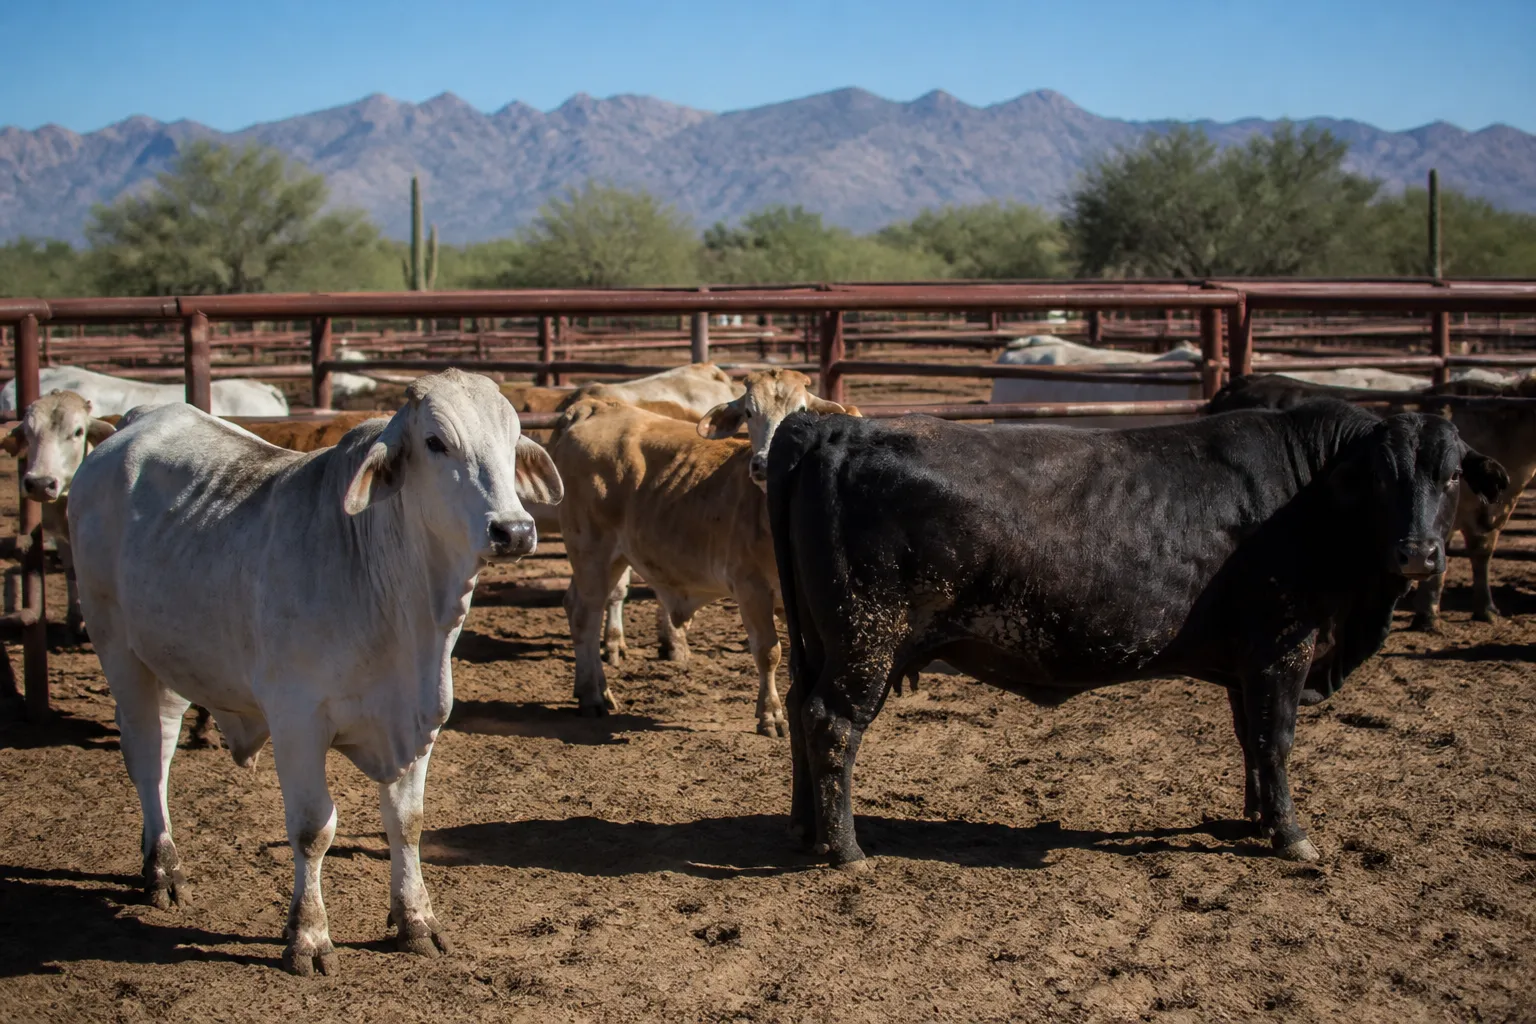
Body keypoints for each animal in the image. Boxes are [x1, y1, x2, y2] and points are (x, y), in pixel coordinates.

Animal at [67, 368, 562, 975]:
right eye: (435, 442)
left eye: (511, 441)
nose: (514, 531)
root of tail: (138, 421)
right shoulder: (297, 723)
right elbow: (312, 830)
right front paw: (308, 935)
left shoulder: (419, 720)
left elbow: (407, 820)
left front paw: (416, 920)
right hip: (120, 650)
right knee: (148, 759)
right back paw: (163, 868)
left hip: (171, 654)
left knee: (161, 743)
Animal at [551, 368, 849, 736]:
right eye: (749, 412)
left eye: (802, 412)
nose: (765, 464)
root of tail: (594, 408)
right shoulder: (751, 588)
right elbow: (768, 652)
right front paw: (771, 715)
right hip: (590, 549)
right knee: (586, 616)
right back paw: (593, 695)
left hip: (612, 558)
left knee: (577, 605)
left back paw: (595, 690)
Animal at [767, 400, 1507, 867]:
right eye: (1382, 479)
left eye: (1450, 477)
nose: (1417, 553)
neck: (1313, 495)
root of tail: (829, 431)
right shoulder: (1283, 647)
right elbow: (1276, 740)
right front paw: (1291, 834)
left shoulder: (1249, 664)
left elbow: (1251, 740)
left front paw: (1256, 819)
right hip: (867, 642)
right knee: (832, 724)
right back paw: (847, 849)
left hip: (820, 643)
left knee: (800, 713)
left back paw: (807, 829)